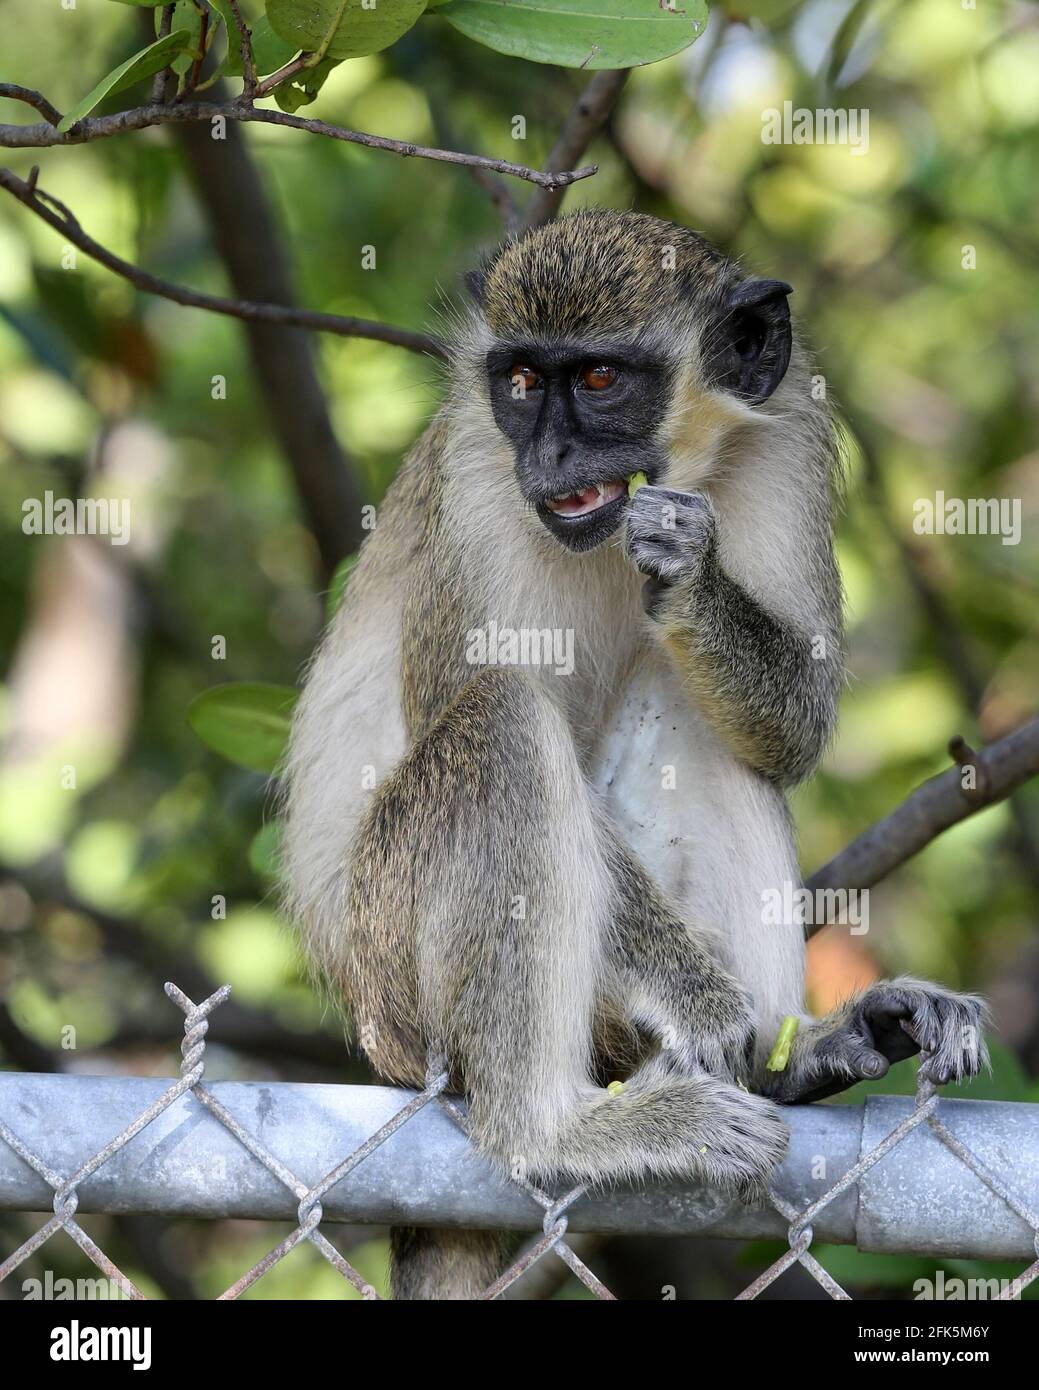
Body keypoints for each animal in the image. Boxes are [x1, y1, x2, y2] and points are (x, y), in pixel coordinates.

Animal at [280, 211, 990, 1295]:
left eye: (602, 379)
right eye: (522, 381)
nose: (551, 452)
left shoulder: (786, 438)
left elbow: (792, 731)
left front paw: (689, 574)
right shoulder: (475, 483)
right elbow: (470, 703)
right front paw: (700, 997)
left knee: (697, 716)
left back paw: (794, 1058)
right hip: (399, 975)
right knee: (502, 723)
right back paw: (557, 1130)